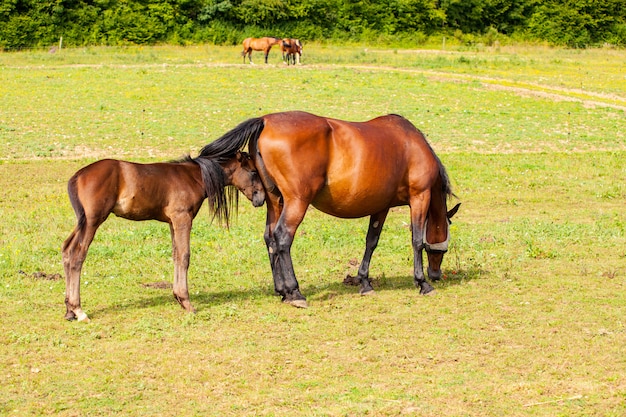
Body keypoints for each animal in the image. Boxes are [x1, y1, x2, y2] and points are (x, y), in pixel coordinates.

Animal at [62, 151, 266, 320]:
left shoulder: (171, 222)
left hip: (82, 222)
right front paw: (186, 302)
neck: (194, 177)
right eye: (253, 171)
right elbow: (184, 256)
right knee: (77, 255)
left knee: (66, 250)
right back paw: (79, 310)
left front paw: (178, 297)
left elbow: (176, 255)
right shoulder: (182, 218)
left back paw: (69, 311)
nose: (261, 198)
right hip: (92, 221)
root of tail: (77, 176)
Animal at [202, 112, 460, 308]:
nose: (436, 274)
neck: (411, 144)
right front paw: (422, 283)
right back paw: (295, 292)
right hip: (297, 202)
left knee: (270, 239)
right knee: (282, 238)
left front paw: (364, 282)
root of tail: (265, 120)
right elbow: (417, 240)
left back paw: (282, 291)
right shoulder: (420, 197)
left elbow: (371, 241)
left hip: (276, 202)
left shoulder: (381, 207)